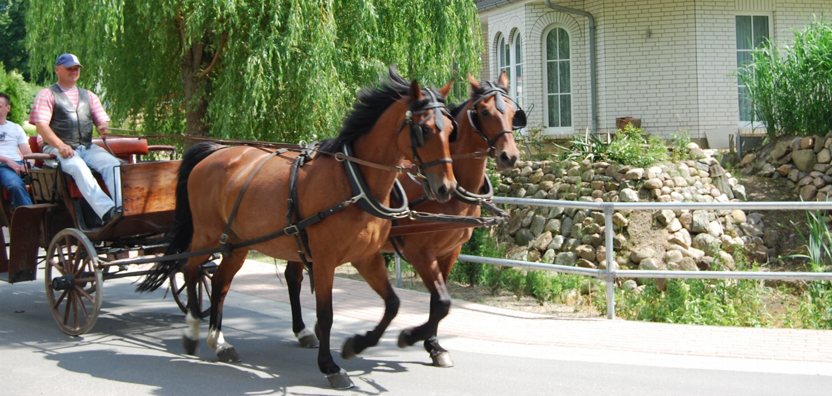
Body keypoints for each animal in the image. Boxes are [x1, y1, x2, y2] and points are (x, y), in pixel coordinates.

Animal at [139, 69, 458, 388]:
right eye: (424, 129)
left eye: (451, 130)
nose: (446, 188)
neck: (352, 180)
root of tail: (214, 152)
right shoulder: (326, 261)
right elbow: (326, 315)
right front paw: (330, 366)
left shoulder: (365, 257)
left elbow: (393, 304)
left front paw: (361, 343)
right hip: (207, 235)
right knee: (191, 270)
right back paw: (192, 330)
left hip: (236, 243)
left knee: (219, 283)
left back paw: (219, 341)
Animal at [286, 71, 520, 366]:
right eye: (485, 112)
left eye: (513, 113)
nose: (509, 156)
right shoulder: (420, 252)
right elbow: (441, 302)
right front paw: (409, 336)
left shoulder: (449, 252)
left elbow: (438, 302)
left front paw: (434, 345)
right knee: (293, 278)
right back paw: (303, 330)